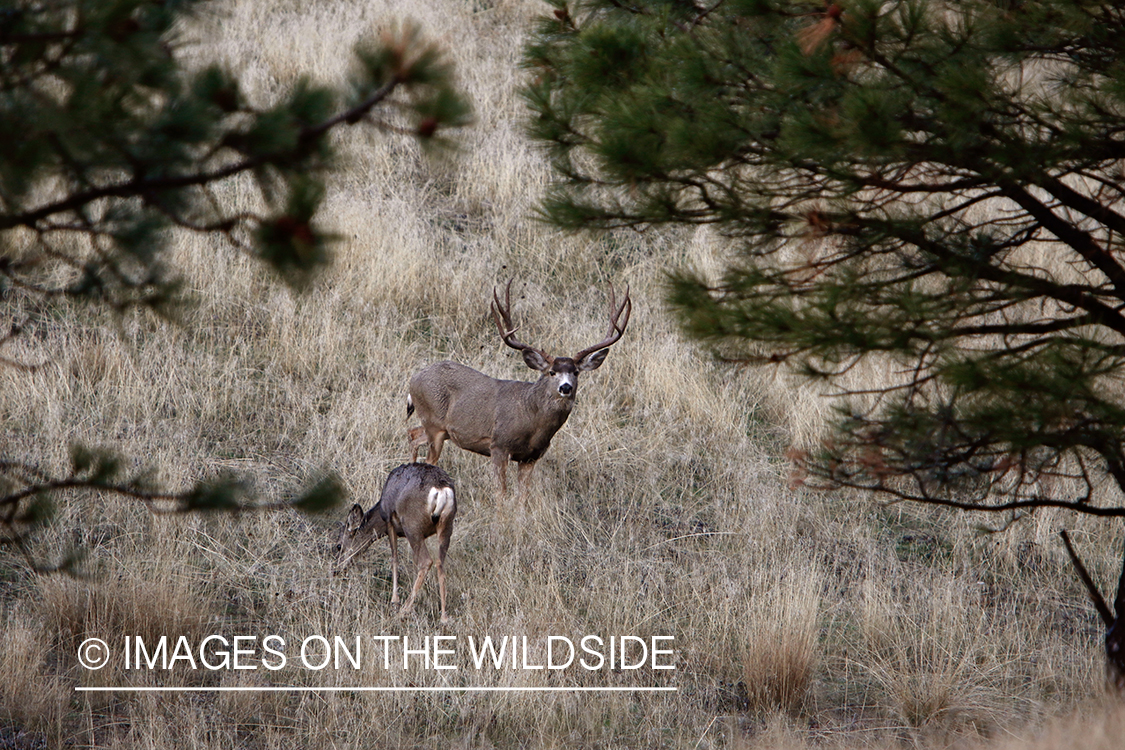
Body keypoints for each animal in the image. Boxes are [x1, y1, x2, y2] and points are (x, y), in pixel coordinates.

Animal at [334, 462, 456, 623]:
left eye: (339, 546)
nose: (336, 570)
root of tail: (441, 490)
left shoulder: (389, 522)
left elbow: (394, 559)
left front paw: (394, 601)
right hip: (446, 525)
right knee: (440, 562)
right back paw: (443, 617)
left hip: (411, 525)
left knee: (426, 561)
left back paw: (404, 610)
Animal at [406, 280, 631, 503]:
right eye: (551, 372)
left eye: (576, 372)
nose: (565, 387)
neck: (532, 420)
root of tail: (413, 378)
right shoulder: (498, 445)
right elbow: (501, 494)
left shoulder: (531, 456)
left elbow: (523, 497)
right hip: (434, 423)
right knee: (428, 456)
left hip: (440, 429)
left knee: (413, 434)